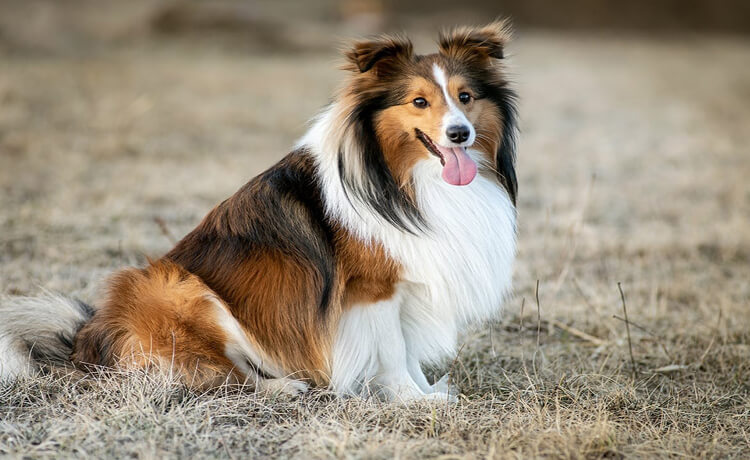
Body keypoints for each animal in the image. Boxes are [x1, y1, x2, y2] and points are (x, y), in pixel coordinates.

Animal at [0, 22, 516, 402]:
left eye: (465, 97)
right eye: (419, 101)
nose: (460, 134)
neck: (401, 178)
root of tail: (83, 344)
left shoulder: (405, 283)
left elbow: (405, 350)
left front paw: (428, 393)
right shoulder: (373, 290)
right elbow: (392, 353)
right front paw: (412, 400)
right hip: (179, 289)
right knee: (222, 377)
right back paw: (285, 387)